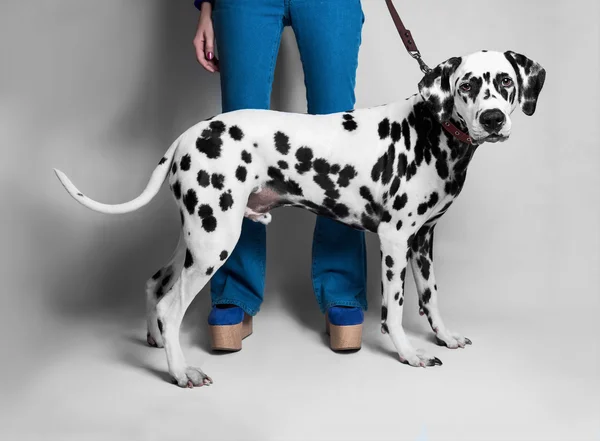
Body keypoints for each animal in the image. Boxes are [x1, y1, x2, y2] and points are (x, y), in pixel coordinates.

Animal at [54, 50, 548, 384]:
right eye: (467, 85)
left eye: (506, 82)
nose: (493, 118)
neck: (431, 130)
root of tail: (189, 134)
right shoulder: (394, 241)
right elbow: (394, 308)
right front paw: (409, 354)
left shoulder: (424, 240)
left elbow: (431, 300)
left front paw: (444, 337)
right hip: (214, 244)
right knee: (169, 306)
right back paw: (180, 371)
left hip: (197, 238)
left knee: (155, 281)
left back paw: (157, 341)